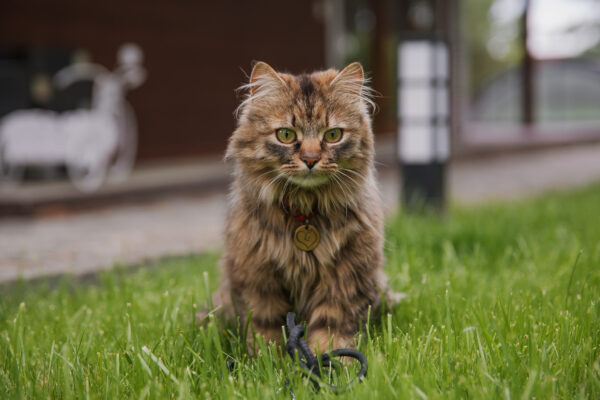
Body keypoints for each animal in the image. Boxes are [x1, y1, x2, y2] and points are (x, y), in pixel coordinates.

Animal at [202, 61, 398, 352]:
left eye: (333, 135)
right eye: (286, 135)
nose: (310, 159)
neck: (305, 208)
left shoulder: (344, 277)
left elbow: (332, 328)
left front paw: (329, 359)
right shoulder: (257, 279)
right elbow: (265, 329)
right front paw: (267, 359)